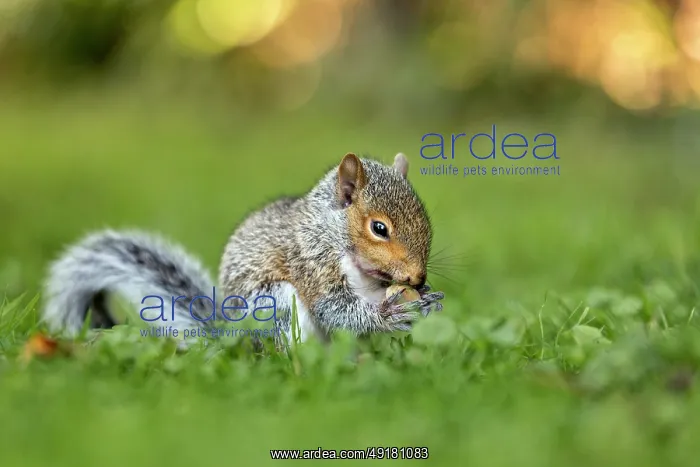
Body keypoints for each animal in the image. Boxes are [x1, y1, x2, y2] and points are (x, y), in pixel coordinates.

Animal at [41, 153, 444, 347]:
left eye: (426, 218)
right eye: (379, 228)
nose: (417, 277)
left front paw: (429, 301)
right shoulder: (310, 261)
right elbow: (334, 307)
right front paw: (386, 314)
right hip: (274, 304)